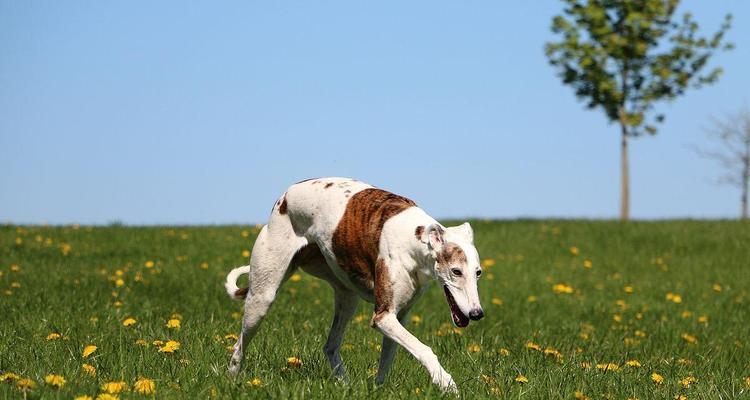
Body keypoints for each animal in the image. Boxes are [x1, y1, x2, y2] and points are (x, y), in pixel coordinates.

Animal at [226, 177, 484, 392]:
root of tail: (285, 195)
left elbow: (387, 358)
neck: (414, 238)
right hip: (263, 296)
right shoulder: (383, 316)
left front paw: (378, 390)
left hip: (347, 296)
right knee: (239, 346)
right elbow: (424, 349)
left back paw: (345, 384)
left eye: (478, 273)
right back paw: (233, 379)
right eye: (456, 271)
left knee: (330, 346)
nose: (477, 313)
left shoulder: (399, 316)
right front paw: (447, 383)